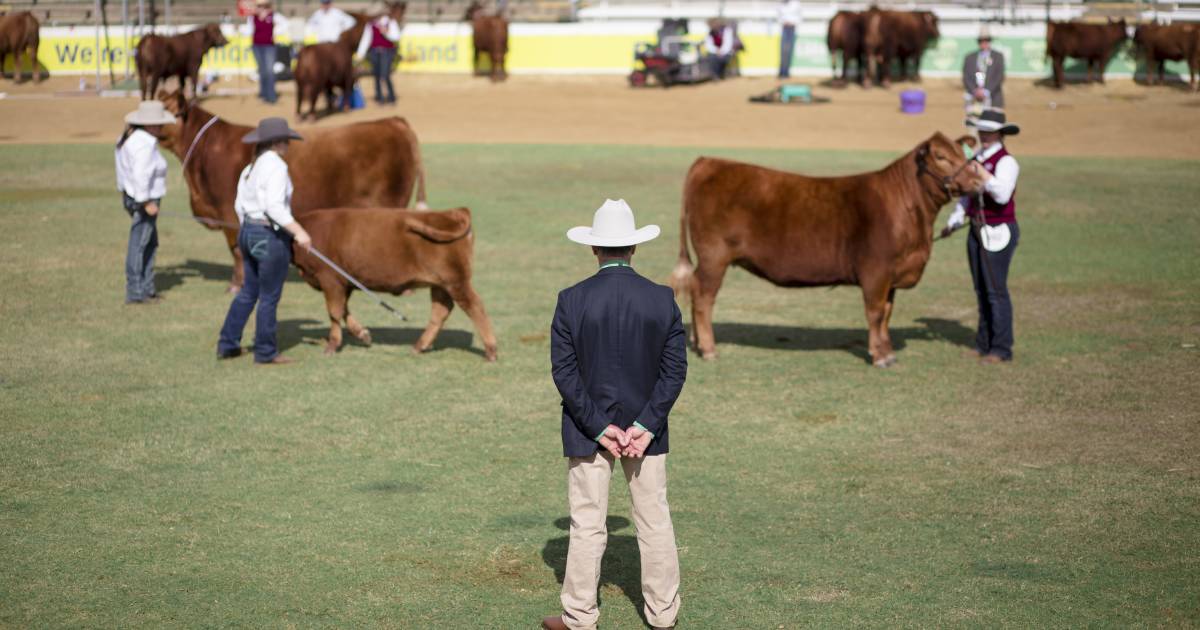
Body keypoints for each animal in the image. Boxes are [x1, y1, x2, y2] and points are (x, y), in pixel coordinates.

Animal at [294, 206, 496, 360]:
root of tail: (453, 212)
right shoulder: (346, 282)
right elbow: (343, 309)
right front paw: (362, 334)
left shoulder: (331, 280)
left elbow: (334, 312)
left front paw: (332, 345)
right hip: (441, 285)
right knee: (441, 310)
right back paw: (420, 346)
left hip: (456, 282)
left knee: (474, 306)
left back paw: (491, 350)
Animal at [667, 133, 984, 369]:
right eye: (941, 157)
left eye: (964, 153)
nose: (979, 181)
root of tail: (708, 162)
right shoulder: (876, 271)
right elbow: (875, 313)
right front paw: (879, 356)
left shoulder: (892, 276)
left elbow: (888, 313)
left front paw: (889, 352)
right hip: (714, 257)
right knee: (704, 298)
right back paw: (709, 349)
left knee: (696, 291)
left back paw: (697, 344)